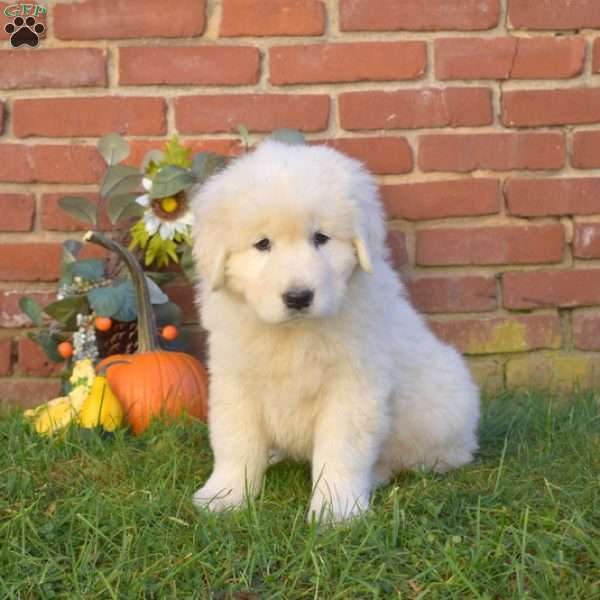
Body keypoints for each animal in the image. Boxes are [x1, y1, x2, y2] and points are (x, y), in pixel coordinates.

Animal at [190, 141, 480, 520]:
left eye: (321, 238)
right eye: (262, 244)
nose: (298, 297)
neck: (292, 334)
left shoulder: (352, 387)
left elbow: (342, 451)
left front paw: (335, 508)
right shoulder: (235, 381)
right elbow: (234, 442)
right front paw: (224, 495)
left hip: (443, 406)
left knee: (438, 455)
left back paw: (381, 473)